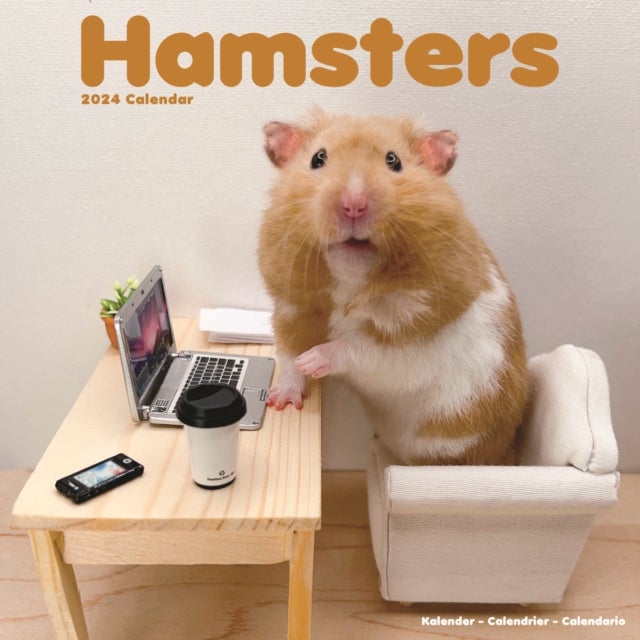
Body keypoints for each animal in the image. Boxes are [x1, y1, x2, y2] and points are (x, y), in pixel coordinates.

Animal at [258, 109, 528, 465]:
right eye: (318, 158)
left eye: (394, 161)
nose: (354, 205)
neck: (350, 280)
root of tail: (505, 450)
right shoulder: (293, 309)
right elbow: (288, 355)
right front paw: (282, 400)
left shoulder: (407, 345)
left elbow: (357, 349)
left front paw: (313, 360)